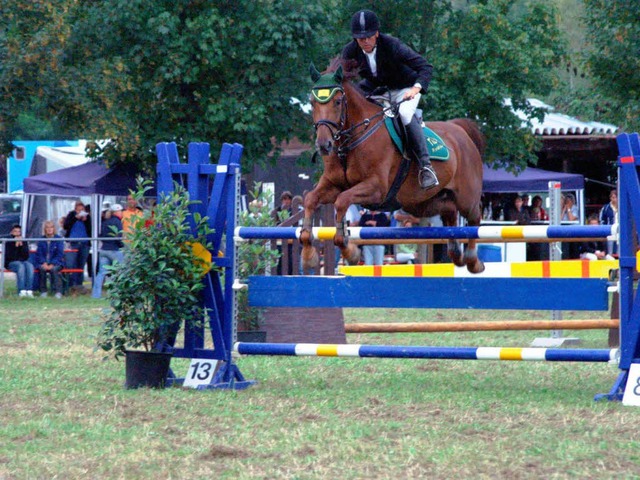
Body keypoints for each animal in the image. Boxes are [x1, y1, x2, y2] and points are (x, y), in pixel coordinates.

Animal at [300, 58, 484, 272]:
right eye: (312, 103)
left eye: (337, 102)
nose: (324, 145)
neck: (350, 142)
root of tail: (459, 129)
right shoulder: (333, 184)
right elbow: (310, 199)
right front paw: (308, 255)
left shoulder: (376, 188)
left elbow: (342, 201)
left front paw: (350, 251)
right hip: (421, 203)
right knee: (449, 211)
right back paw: (456, 254)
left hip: (466, 197)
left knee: (474, 218)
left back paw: (473, 261)